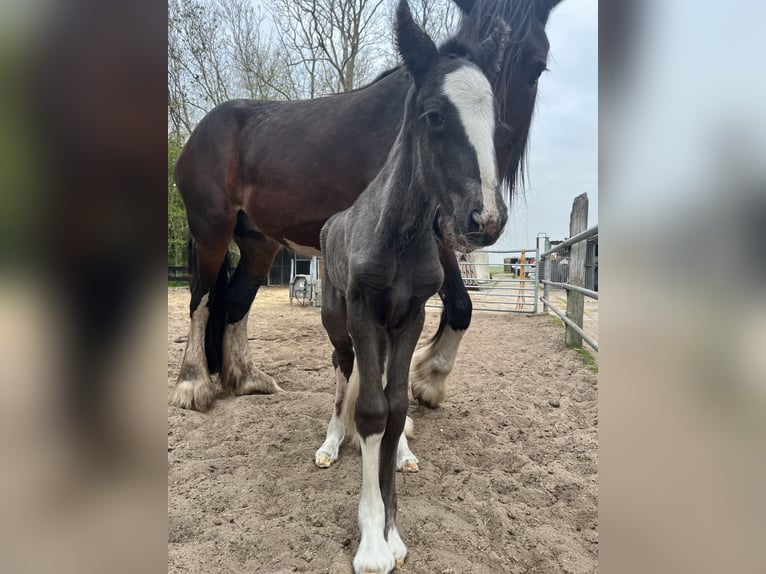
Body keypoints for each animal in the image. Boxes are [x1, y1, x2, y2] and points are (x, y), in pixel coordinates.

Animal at [169, 0, 562, 418]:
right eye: (435, 116)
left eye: (536, 65)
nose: (485, 216)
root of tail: (200, 131)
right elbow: (451, 306)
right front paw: (420, 383)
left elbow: (458, 306)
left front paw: (426, 380)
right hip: (212, 230)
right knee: (202, 298)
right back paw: (192, 383)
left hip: (260, 243)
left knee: (236, 301)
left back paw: (245, 379)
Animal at [319, 3, 505, 571]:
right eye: (435, 115)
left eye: (496, 120)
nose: (487, 220)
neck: (397, 235)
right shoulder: (363, 313)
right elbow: (371, 410)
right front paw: (372, 543)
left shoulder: (412, 316)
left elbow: (396, 406)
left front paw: (391, 530)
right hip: (339, 324)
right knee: (344, 370)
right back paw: (331, 443)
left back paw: (401, 452)